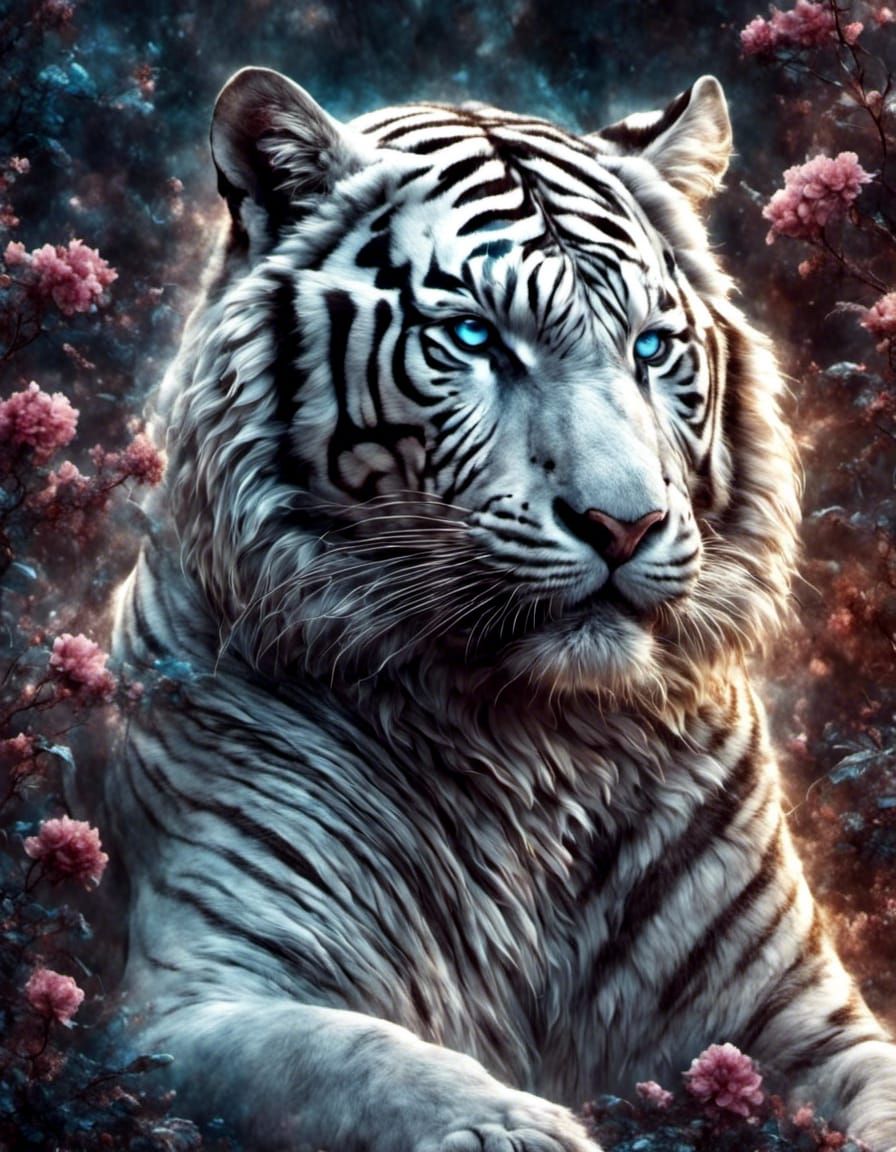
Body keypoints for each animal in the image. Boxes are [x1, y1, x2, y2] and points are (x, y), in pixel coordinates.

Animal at [105, 66, 896, 1152]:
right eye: (475, 338)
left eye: (652, 347)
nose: (623, 523)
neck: (534, 743)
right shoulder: (196, 999)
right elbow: (365, 1062)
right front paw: (516, 1127)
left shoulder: (801, 1014)